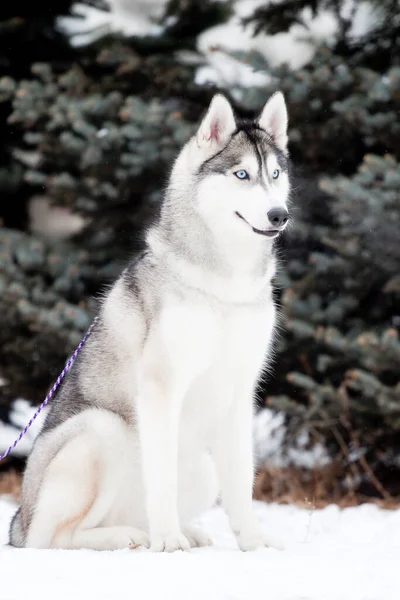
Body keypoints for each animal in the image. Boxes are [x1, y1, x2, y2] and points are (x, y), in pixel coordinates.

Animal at [9, 91, 290, 552]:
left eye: (276, 174)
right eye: (242, 174)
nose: (279, 214)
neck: (225, 284)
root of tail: (19, 517)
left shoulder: (240, 391)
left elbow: (241, 481)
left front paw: (252, 541)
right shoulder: (161, 386)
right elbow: (162, 477)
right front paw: (168, 541)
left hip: (202, 468)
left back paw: (179, 531)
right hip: (98, 429)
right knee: (54, 538)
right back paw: (130, 537)